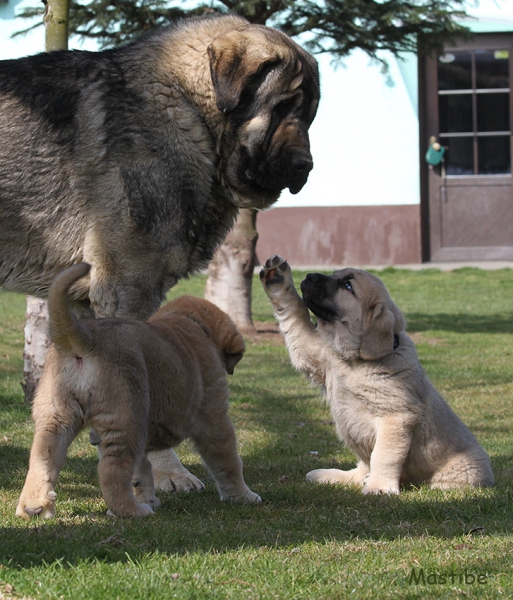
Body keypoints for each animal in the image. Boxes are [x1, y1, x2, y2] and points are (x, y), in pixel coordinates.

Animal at [17, 264, 260, 516]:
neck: (192, 323)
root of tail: (84, 339)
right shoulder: (215, 419)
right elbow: (228, 462)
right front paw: (243, 496)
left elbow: (141, 472)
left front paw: (149, 498)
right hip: (125, 420)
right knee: (111, 471)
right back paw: (132, 510)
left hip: (55, 418)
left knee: (41, 462)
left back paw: (34, 508)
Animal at [260, 255, 492, 494]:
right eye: (334, 274)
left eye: (347, 285)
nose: (309, 276)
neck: (353, 361)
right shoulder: (318, 355)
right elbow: (296, 316)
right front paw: (277, 280)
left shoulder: (395, 416)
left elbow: (384, 455)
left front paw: (379, 487)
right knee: (362, 467)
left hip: (464, 469)